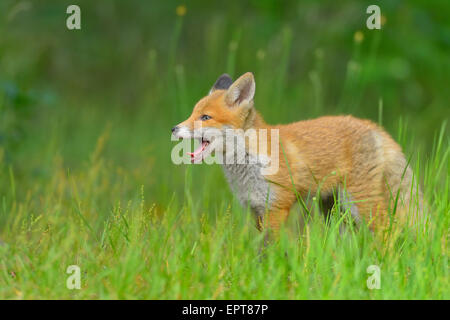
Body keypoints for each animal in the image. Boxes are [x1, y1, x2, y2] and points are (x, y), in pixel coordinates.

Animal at [171, 72, 424, 238]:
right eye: (192, 113)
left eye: (205, 117)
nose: (174, 128)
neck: (248, 167)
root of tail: (374, 126)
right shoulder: (256, 209)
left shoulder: (277, 207)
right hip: (335, 210)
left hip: (361, 203)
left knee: (388, 232)